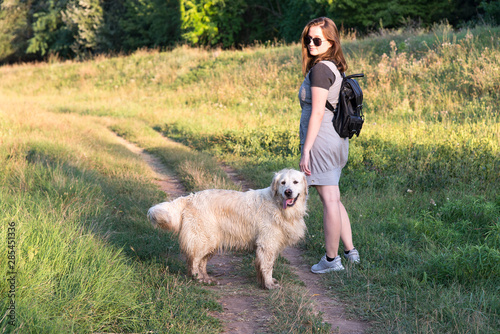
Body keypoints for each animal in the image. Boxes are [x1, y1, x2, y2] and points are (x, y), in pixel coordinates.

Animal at [146, 168, 306, 288]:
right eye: (283, 183)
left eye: (295, 182)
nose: (288, 192)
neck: (278, 205)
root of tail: (190, 197)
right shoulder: (267, 244)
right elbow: (267, 266)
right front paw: (268, 285)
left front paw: (268, 282)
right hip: (204, 239)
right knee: (194, 261)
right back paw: (198, 279)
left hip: (211, 241)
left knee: (201, 263)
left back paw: (207, 279)